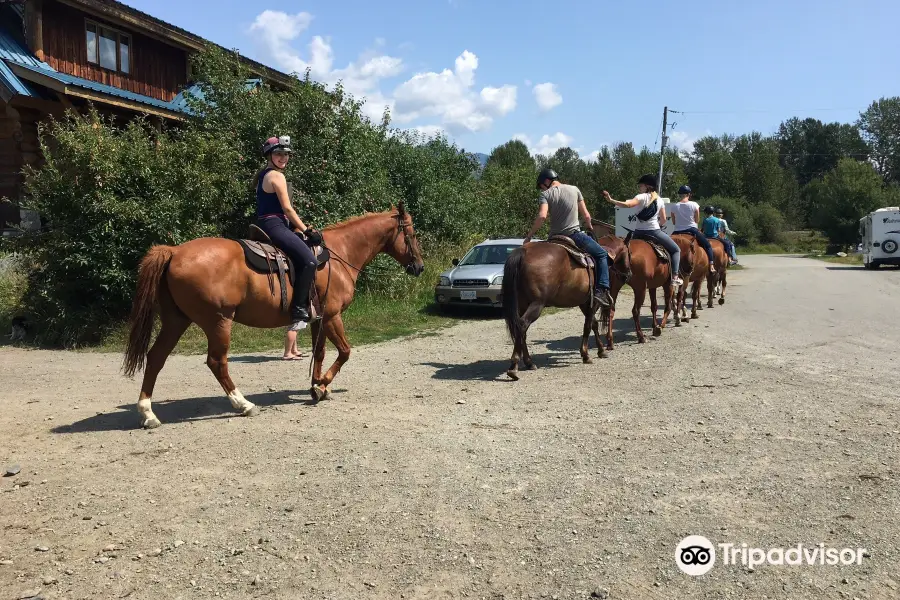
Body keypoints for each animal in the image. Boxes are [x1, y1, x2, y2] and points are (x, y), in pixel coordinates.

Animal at [122, 204, 426, 428]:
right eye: (411, 235)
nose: (420, 267)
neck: (339, 256)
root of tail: (174, 251)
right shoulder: (331, 316)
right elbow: (345, 351)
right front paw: (322, 386)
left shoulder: (318, 319)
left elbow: (321, 353)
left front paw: (317, 386)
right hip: (218, 321)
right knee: (216, 362)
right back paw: (243, 404)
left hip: (177, 321)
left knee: (156, 357)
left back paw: (148, 413)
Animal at [502, 234, 628, 380]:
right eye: (629, 253)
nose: (628, 274)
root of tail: (523, 252)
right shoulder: (592, 303)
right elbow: (588, 326)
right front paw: (586, 355)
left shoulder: (584, 303)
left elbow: (594, 324)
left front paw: (601, 350)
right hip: (537, 304)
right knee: (522, 325)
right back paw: (514, 367)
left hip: (523, 304)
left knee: (522, 330)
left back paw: (529, 362)